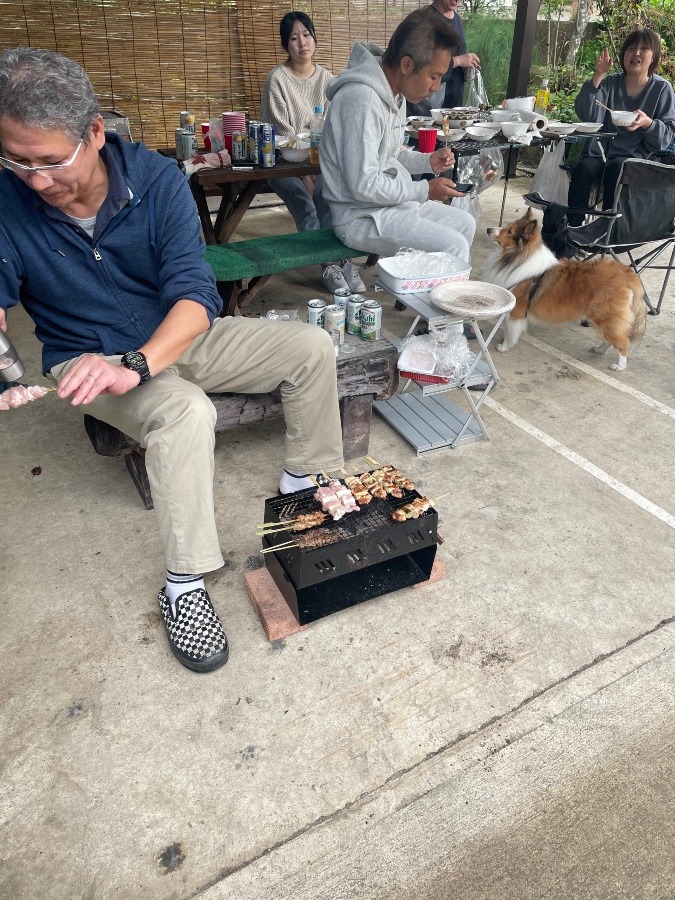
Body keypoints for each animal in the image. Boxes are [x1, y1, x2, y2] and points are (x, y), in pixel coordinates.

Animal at [484, 208, 648, 370]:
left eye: (509, 231)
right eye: (508, 226)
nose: (488, 229)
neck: (518, 257)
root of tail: (627, 275)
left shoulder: (516, 309)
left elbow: (510, 330)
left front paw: (504, 347)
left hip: (604, 315)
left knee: (623, 343)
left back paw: (618, 366)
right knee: (611, 339)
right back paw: (599, 349)